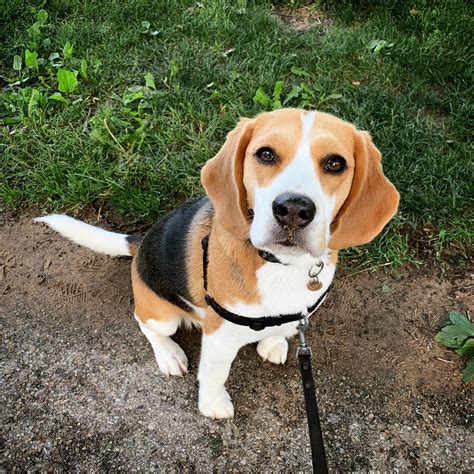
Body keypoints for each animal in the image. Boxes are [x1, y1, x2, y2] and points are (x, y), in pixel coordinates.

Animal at [35, 108, 400, 418]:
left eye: (335, 164)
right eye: (266, 154)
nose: (294, 209)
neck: (281, 265)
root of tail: (140, 244)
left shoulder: (298, 314)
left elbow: (281, 329)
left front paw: (273, 342)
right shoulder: (220, 337)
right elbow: (214, 374)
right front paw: (213, 405)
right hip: (162, 315)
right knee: (144, 322)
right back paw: (168, 354)